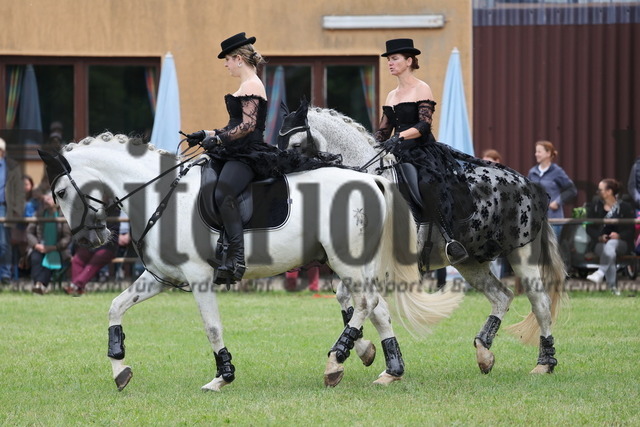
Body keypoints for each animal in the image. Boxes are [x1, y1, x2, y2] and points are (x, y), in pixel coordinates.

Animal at [39, 132, 463, 391]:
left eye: (60, 192)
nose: (89, 239)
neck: (161, 195)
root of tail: (372, 180)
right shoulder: (159, 277)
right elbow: (115, 307)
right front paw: (120, 369)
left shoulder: (198, 278)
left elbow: (211, 327)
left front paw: (222, 376)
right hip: (352, 263)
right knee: (375, 307)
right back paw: (388, 368)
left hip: (345, 262)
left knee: (364, 303)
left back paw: (336, 362)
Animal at [279, 102, 568, 374]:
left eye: (295, 144)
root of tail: (528, 184)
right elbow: (345, 298)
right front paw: (364, 350)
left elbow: (363, 302)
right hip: (470, 262)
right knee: (502, 296)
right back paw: (484, 352)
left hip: (521, 254)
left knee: (540, 304)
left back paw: (545, 363)